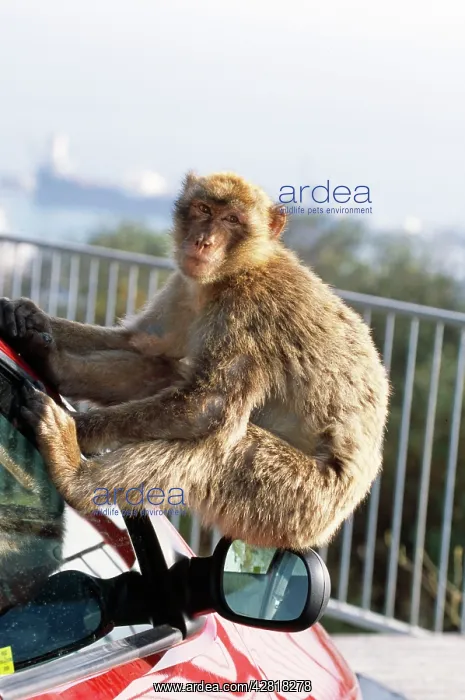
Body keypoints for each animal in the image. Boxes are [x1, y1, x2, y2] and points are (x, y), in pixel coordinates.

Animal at [0, 171, 390, 551]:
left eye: (232, 220)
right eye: (204, 210)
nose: (204, 241)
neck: (233, 273)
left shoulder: (247, 314)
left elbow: (207, 405)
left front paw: (79, 427)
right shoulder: (186, 285)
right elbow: (141, 344)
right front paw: (26, 316)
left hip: (302, 502)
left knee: (224, 443)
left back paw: (76, 478)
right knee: (164, 373)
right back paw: (53, 364)